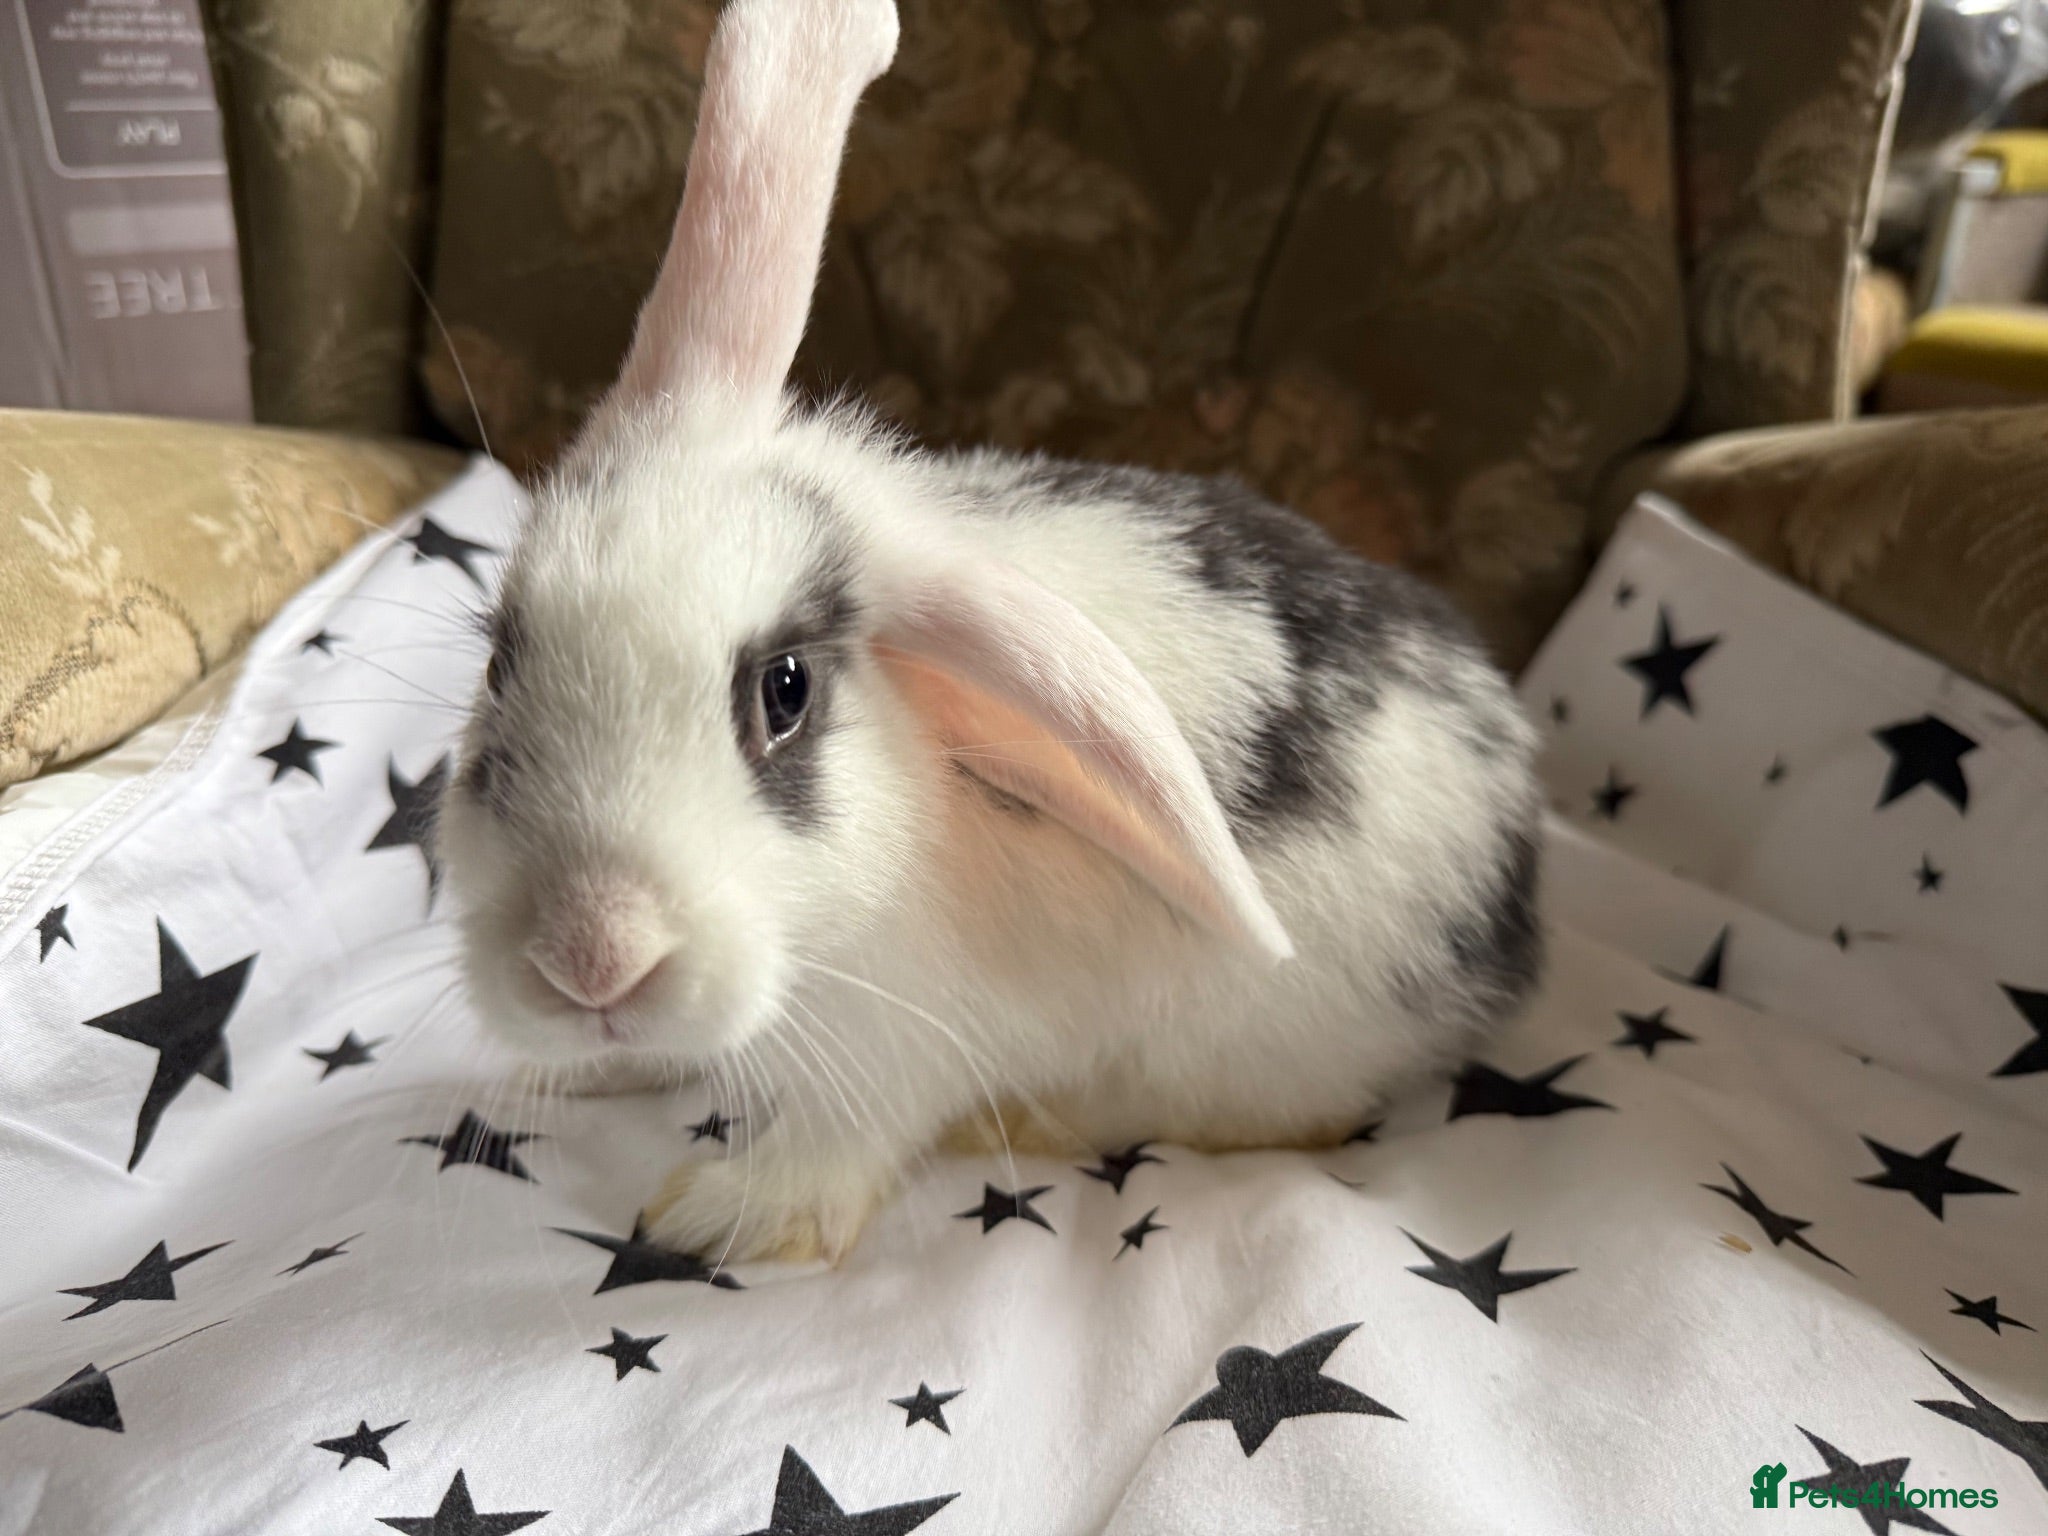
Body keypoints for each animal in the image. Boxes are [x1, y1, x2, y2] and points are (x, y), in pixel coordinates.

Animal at [434, 0, 1543, 1265]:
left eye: (783, 691)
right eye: (498, 663)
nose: (590, 959)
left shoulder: (907, 1047)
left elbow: (839, 1143)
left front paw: (719, 1214)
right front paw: (573, 1075)